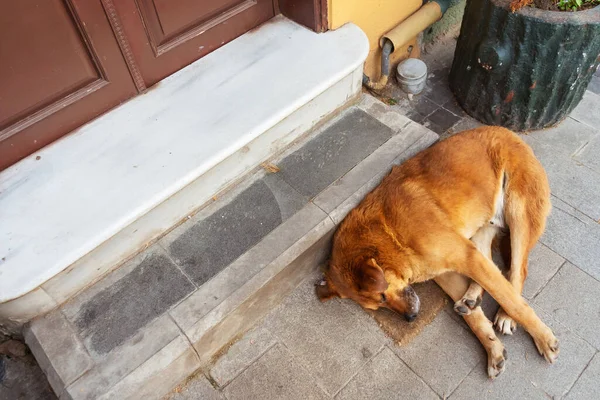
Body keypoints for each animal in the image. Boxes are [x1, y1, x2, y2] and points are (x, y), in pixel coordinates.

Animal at [318, 126, 556, 378]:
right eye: (378, 306)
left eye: (382, 296)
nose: (410, 318)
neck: (390, 234)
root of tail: (508, 132)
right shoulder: (448, 271)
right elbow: (475, 318)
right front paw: (492, 348)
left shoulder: (465, 256)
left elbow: (511, 301)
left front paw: (543, 337)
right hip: (481, 229)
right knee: (491, 262)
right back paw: (471, 297)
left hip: (518, 213)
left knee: (517, 271)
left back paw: (506, 317)